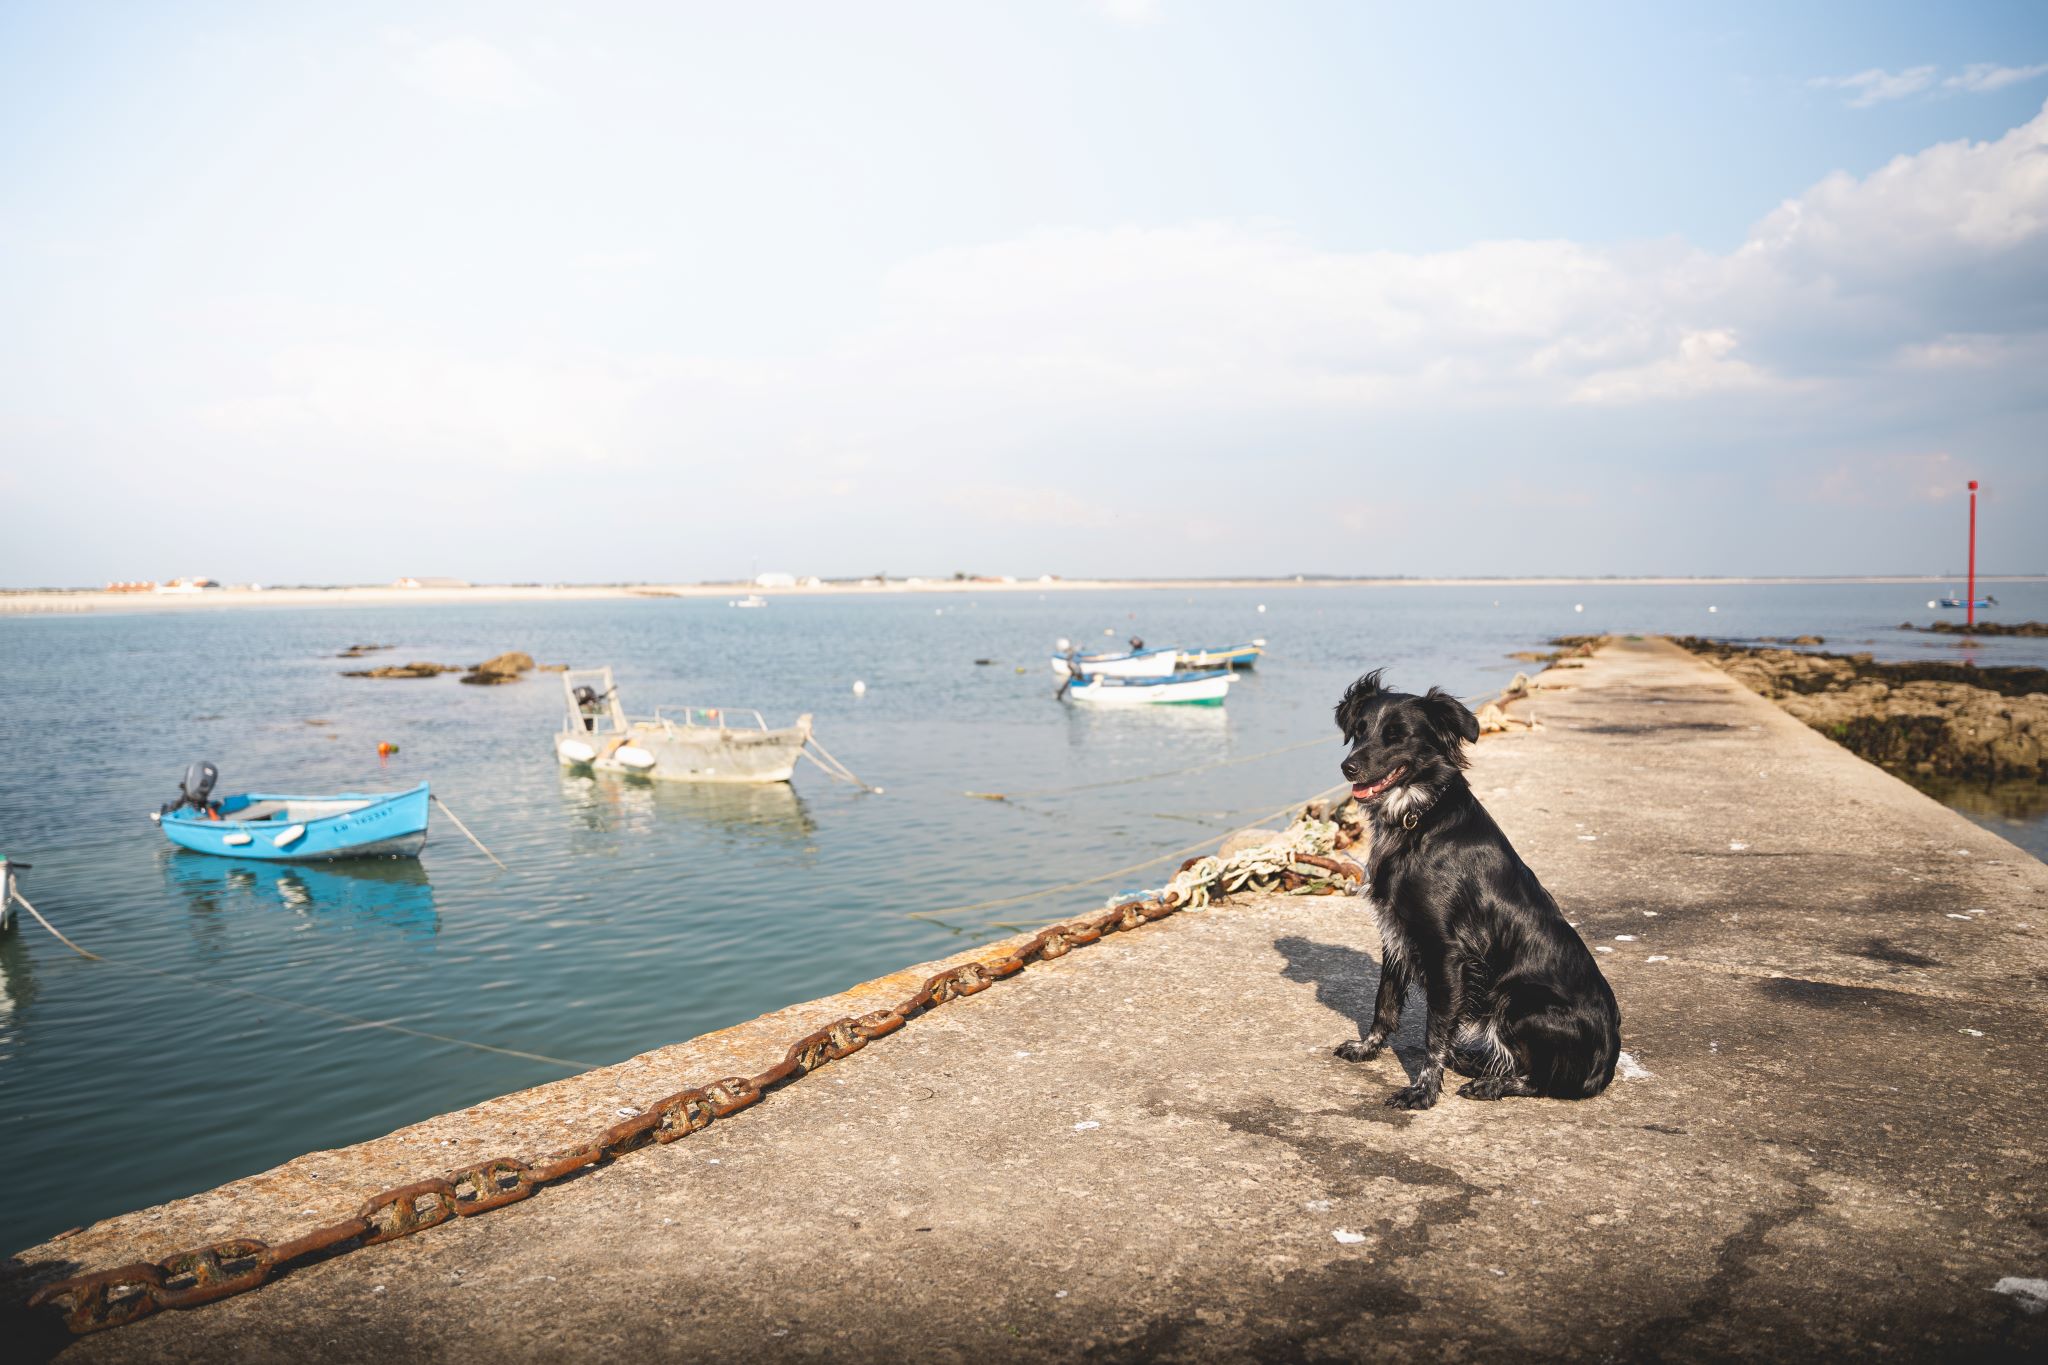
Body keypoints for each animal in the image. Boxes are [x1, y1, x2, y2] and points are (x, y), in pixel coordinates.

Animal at [1335, 671, 1622, 1113]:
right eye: (1360, 730)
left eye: (1397, 735)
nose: (1348, 767)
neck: (1418, 818)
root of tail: (1607, 1066)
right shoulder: (1396, 932)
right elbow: (1385, 1002)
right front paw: (1367, 1049)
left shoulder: (1447, 951)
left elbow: (1435, 1032)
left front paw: (1423, 1090)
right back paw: (1474, 1063)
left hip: (1519, 1002)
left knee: (1542, 1080)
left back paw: (1490, 1083)